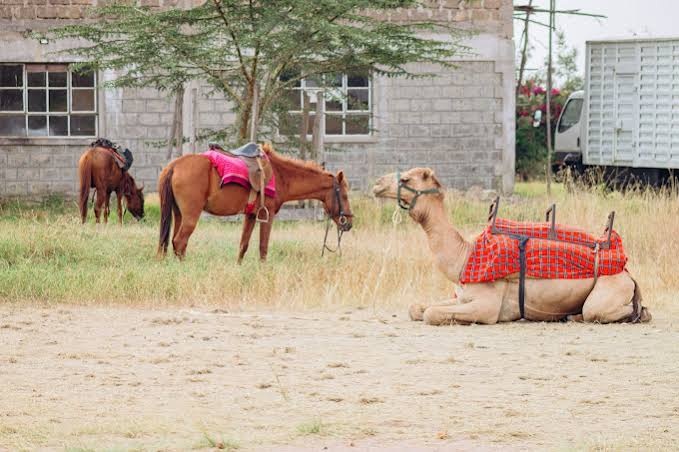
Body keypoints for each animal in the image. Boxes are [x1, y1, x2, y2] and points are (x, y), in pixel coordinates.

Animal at [372, 168, 652, 326]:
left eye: (406, 178)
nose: (376, 184)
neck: (464, 257)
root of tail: (627, 273)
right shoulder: (462, 295)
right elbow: (418, 308)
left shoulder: (487, 306)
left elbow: (430, 314)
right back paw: (572, 316)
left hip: (608, 290)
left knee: (611, 311)